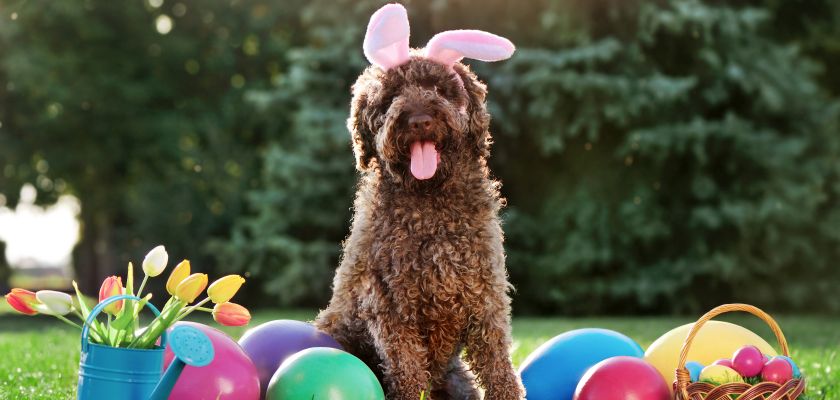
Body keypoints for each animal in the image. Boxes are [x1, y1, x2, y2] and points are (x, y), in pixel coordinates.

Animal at [316, 3, 524, 400]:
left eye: (439, 88)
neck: (430, 204)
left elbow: (496, 364)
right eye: (390, 96)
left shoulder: (485, 295)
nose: (419, 119)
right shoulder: (389, 305)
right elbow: (407, 369)